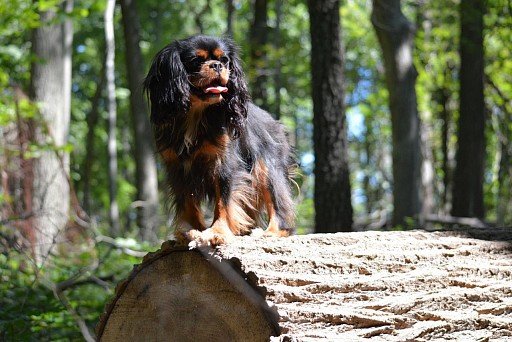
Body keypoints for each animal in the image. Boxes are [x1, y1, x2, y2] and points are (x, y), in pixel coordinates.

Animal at [144, 35, 296, 246]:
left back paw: (271, 232)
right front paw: (190, 230)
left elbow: (224, 200)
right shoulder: (178, 168)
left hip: (266, 168)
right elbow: (187, 201)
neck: (195, 113)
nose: (217, 65)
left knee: (278, 202)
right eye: (196, 60)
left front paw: (218, 231)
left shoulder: (224, 163)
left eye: (224, 60)